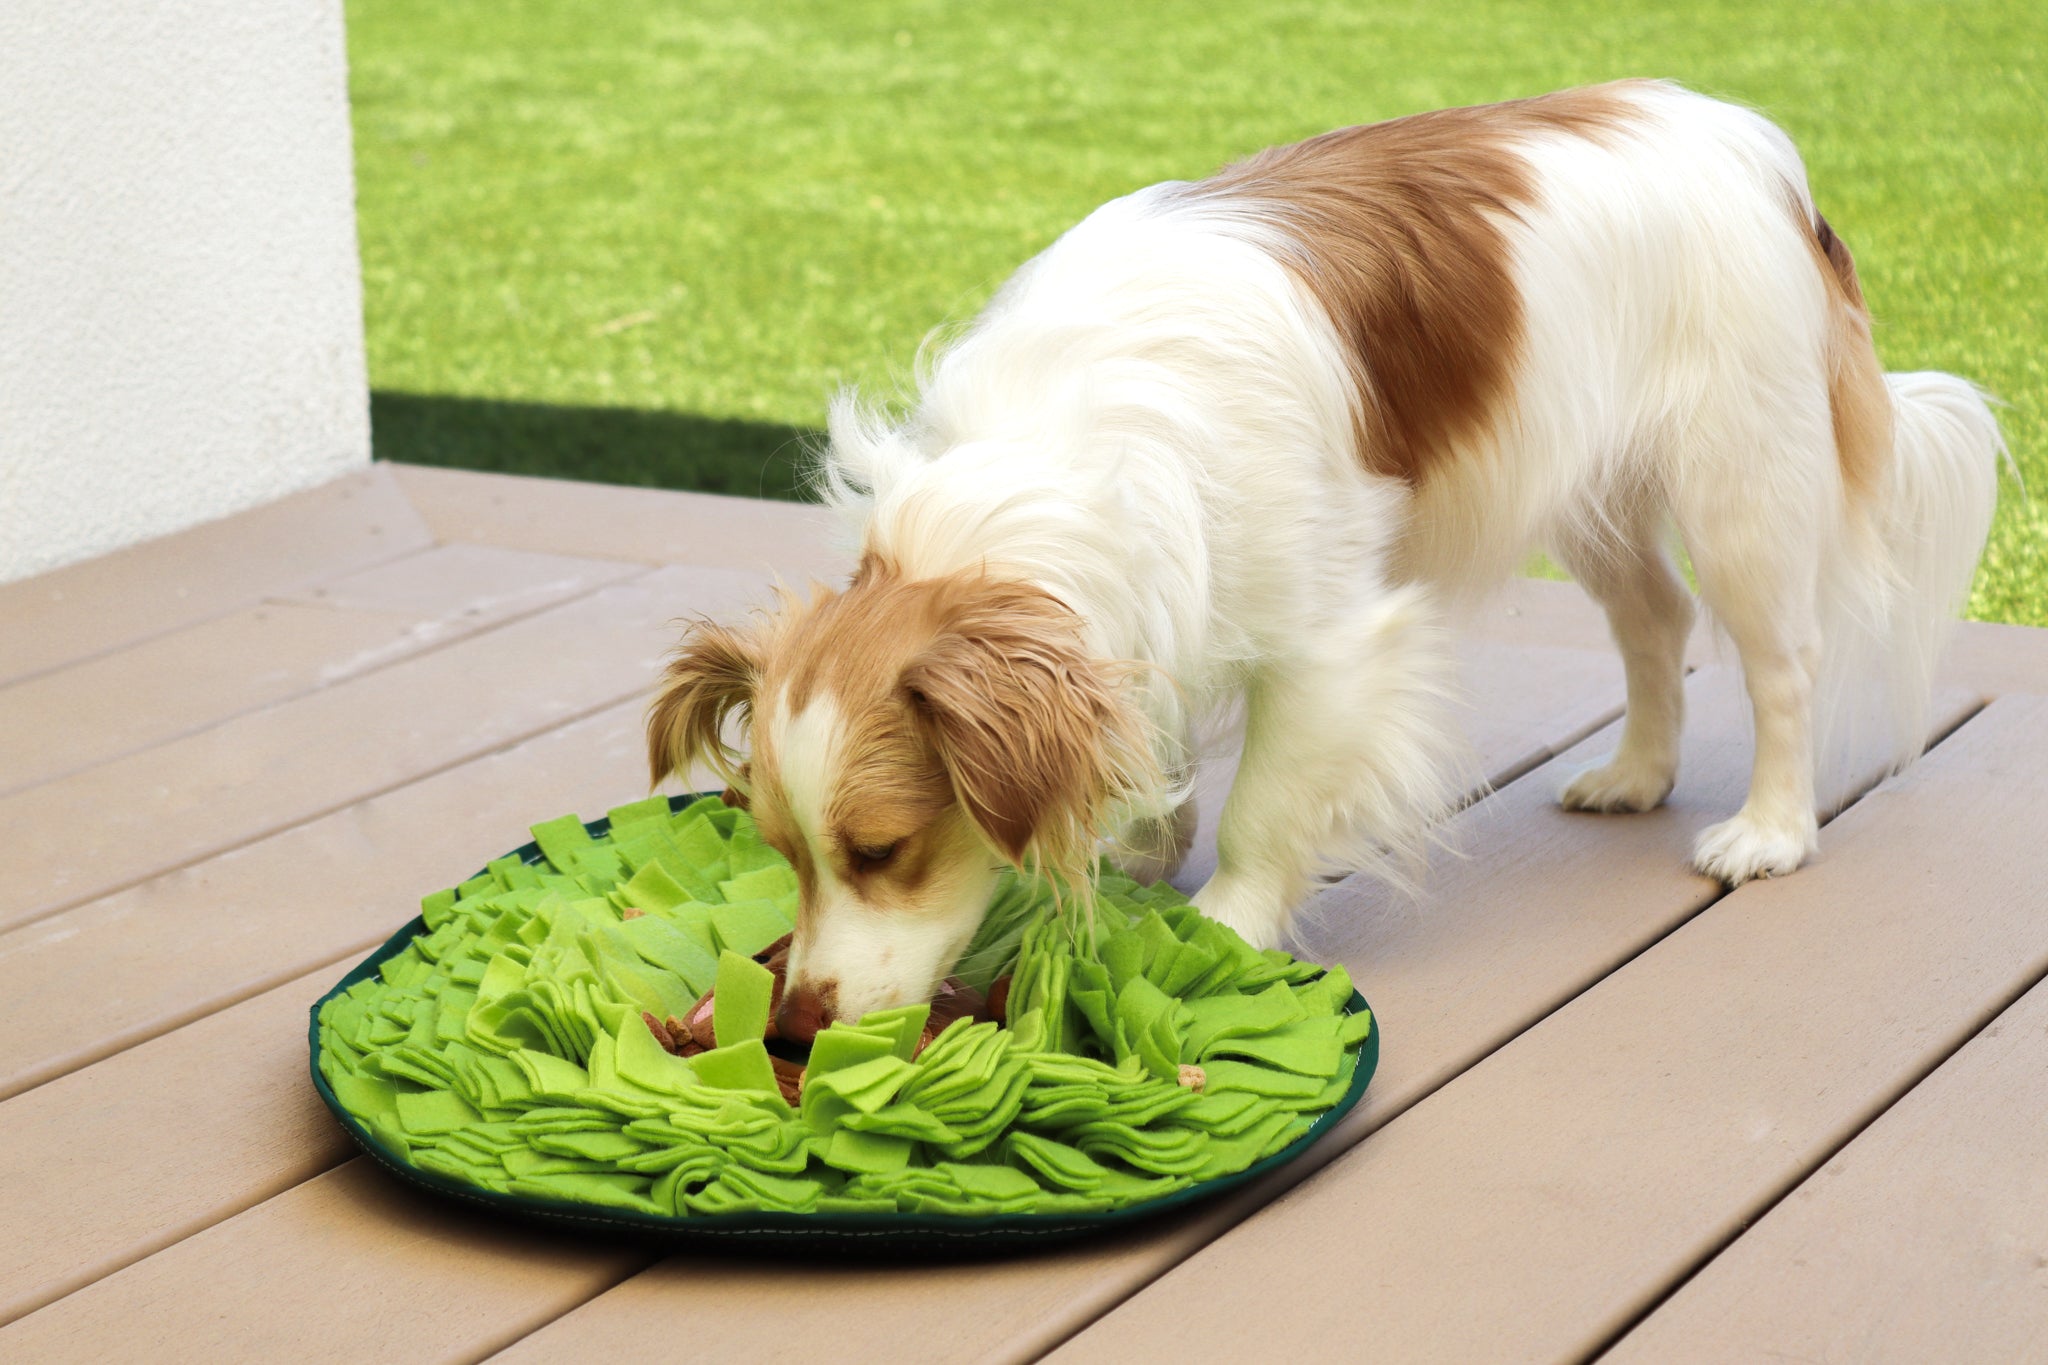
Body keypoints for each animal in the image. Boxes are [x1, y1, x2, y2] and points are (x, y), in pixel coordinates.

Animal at [643, 82, 1998, 1035]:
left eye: (881, 854)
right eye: (782, 856)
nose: (794, 1022)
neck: (1044, 465)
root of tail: (1757, 150)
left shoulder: (1329, 642)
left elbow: (1263, 807)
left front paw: (1223, 926)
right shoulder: (1154, 610)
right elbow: (1155, 743)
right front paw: (1140, 847)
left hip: (1738, 490)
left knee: (1779, 664)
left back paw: (1768, 829)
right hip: (1584, 488)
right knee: (1654, 622)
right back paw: (1634, 773)